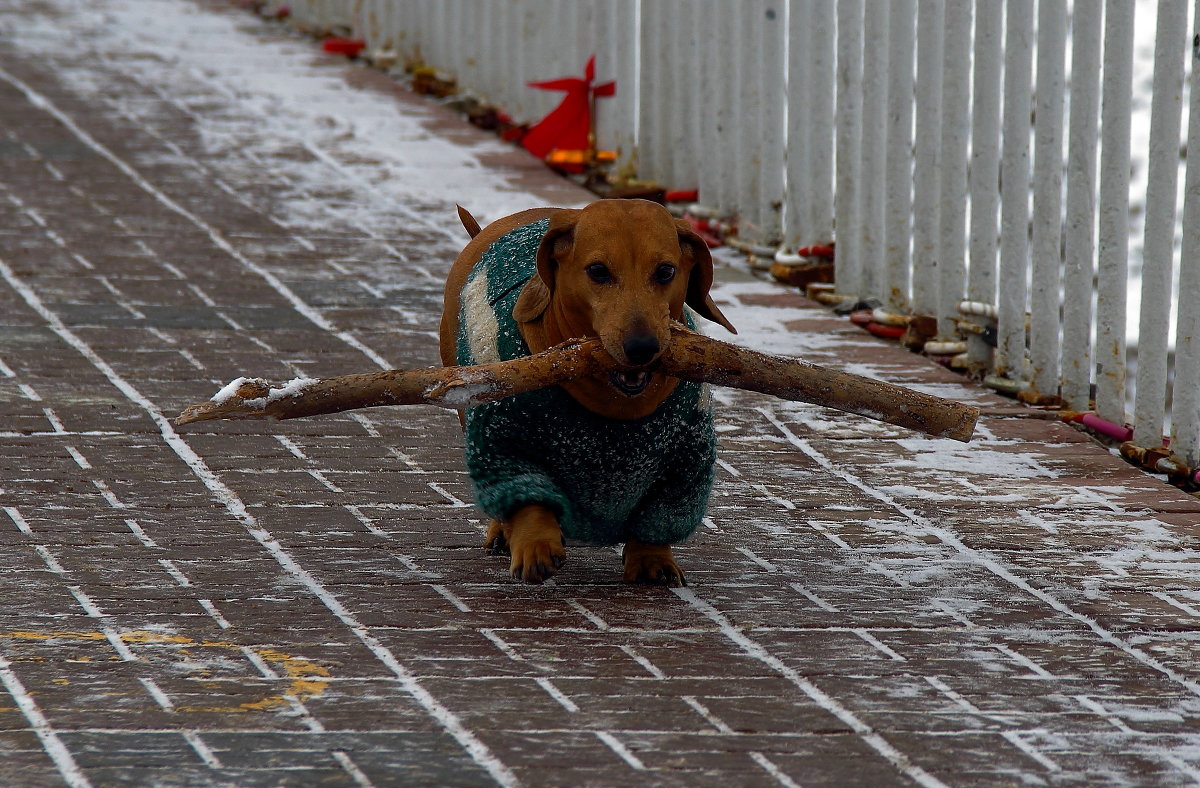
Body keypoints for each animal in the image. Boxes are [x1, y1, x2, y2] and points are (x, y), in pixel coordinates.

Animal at [441, 200, 734, 582]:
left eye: (666, 271)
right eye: (597, 271)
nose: (642, 347)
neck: (615, 405)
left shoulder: (687, 459)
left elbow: (658, 517)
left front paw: (652, 559)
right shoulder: (501, 440)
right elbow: (527, 498)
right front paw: (535, 543)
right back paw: (504, 532)